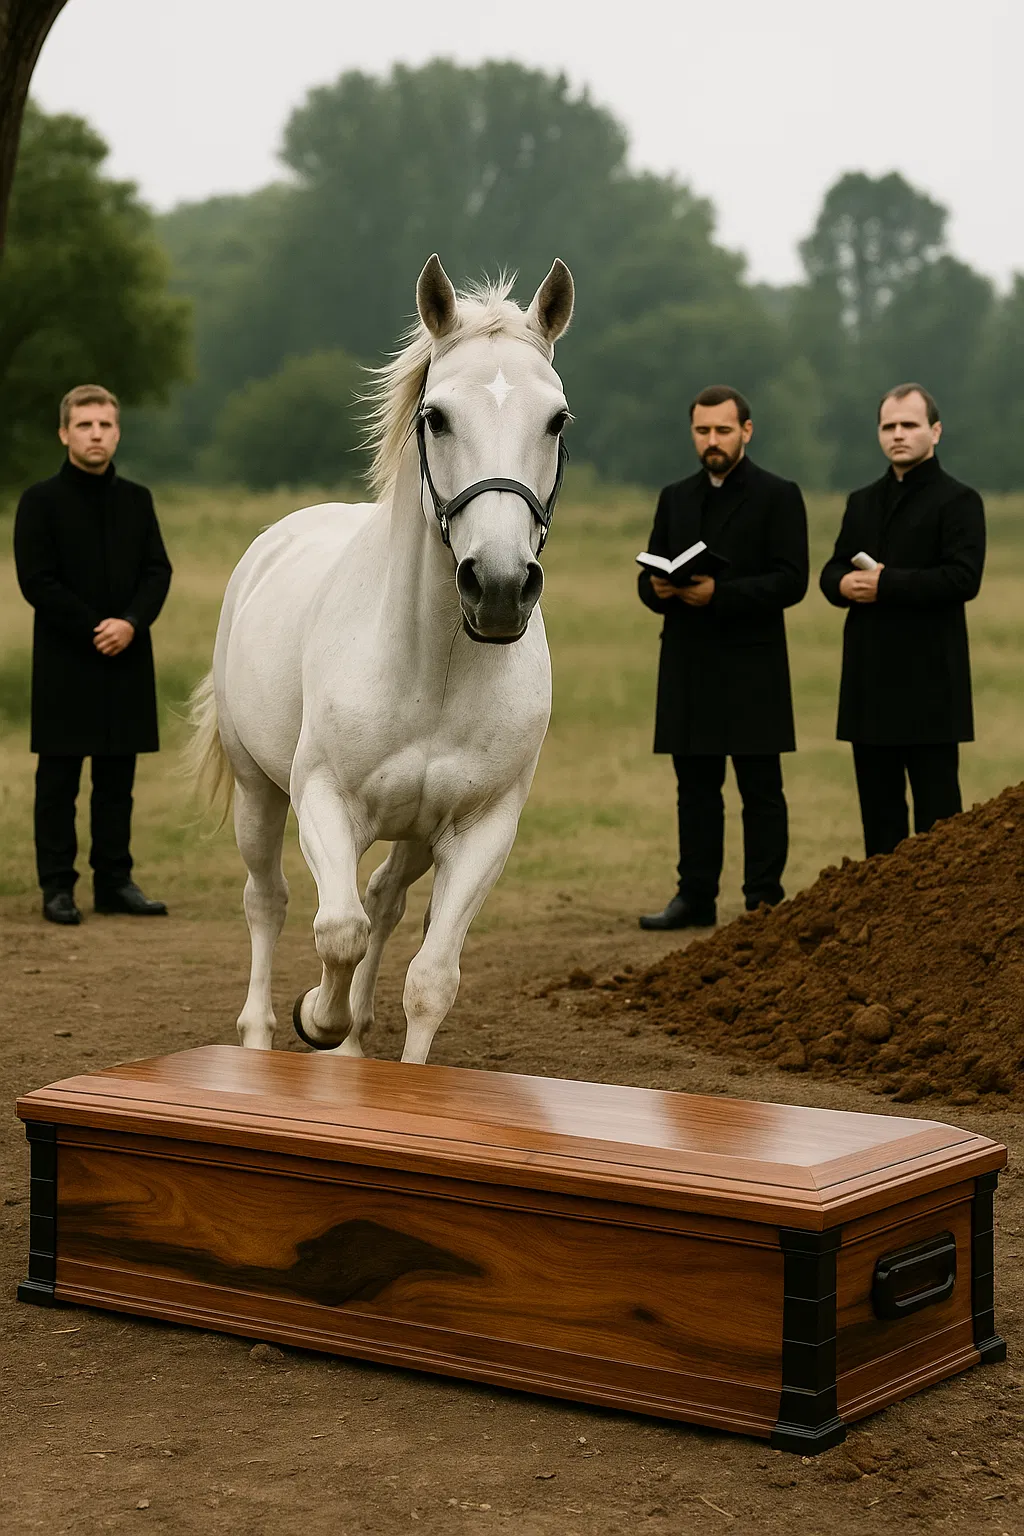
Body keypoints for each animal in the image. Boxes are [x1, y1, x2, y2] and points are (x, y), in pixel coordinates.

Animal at [187, 254, 574, 1063]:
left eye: (556, 419)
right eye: (437, 417)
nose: (498, 586)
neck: (433, 670)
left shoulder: (480, 830)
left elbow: (430, 978)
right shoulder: (325, 802)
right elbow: (337, 931)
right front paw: (317, 1017)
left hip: (418, 834)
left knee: (386, 901)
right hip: (257, 790)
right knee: (268, 901)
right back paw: (262, 1035)